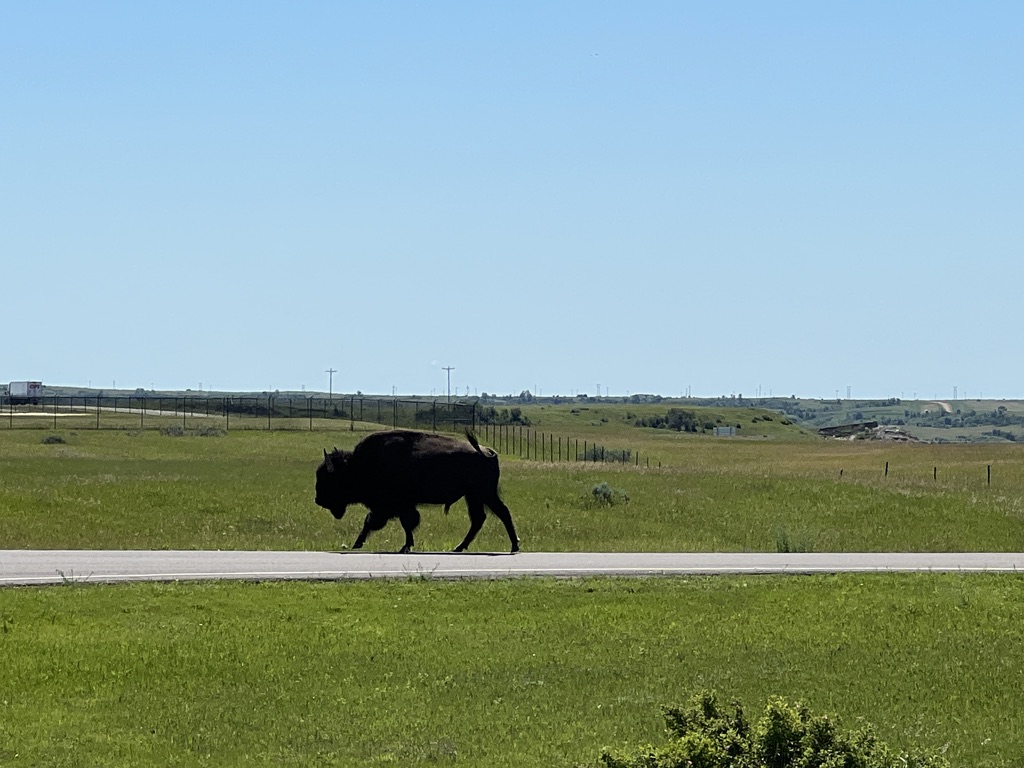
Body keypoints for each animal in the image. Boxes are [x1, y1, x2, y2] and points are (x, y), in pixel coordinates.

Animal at [311, 434, 520, 552]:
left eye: (329, 479)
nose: (318, 499)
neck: (358, 465)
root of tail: (488, 452)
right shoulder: (391, 507)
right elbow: (373, 522)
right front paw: (357, 544)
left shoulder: (396, 505)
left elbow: (403, 523)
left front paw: (405, 546)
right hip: (473, 496)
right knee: (479, 518)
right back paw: (459, 548)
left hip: (484, 493)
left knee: (501, 513)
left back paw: (514, 545)